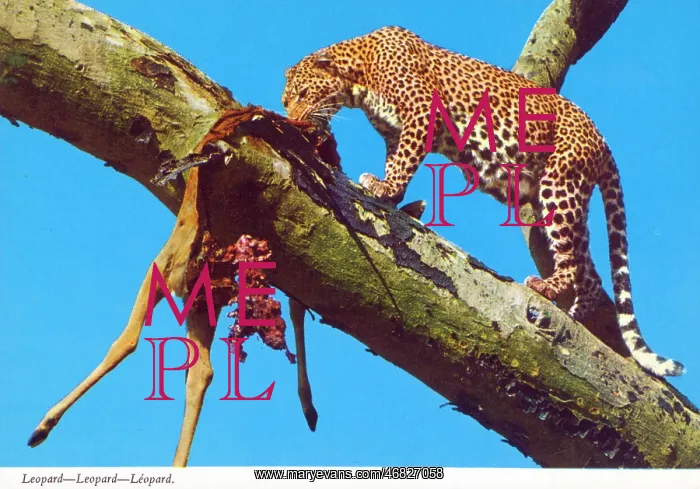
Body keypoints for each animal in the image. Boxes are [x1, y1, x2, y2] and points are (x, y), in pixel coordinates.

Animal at [281, 26, 684, 377]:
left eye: (301, 94)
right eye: (287, 101)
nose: (291, 119)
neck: (358, 77)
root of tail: (601, 139)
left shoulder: (420, 114)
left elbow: (405, 162)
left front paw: (385, 190)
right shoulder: (396, 132)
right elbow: (397, 159)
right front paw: (388, 189)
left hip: (560, 185)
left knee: (574, 263)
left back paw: (548, 289)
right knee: (590, 271)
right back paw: (575, 311)